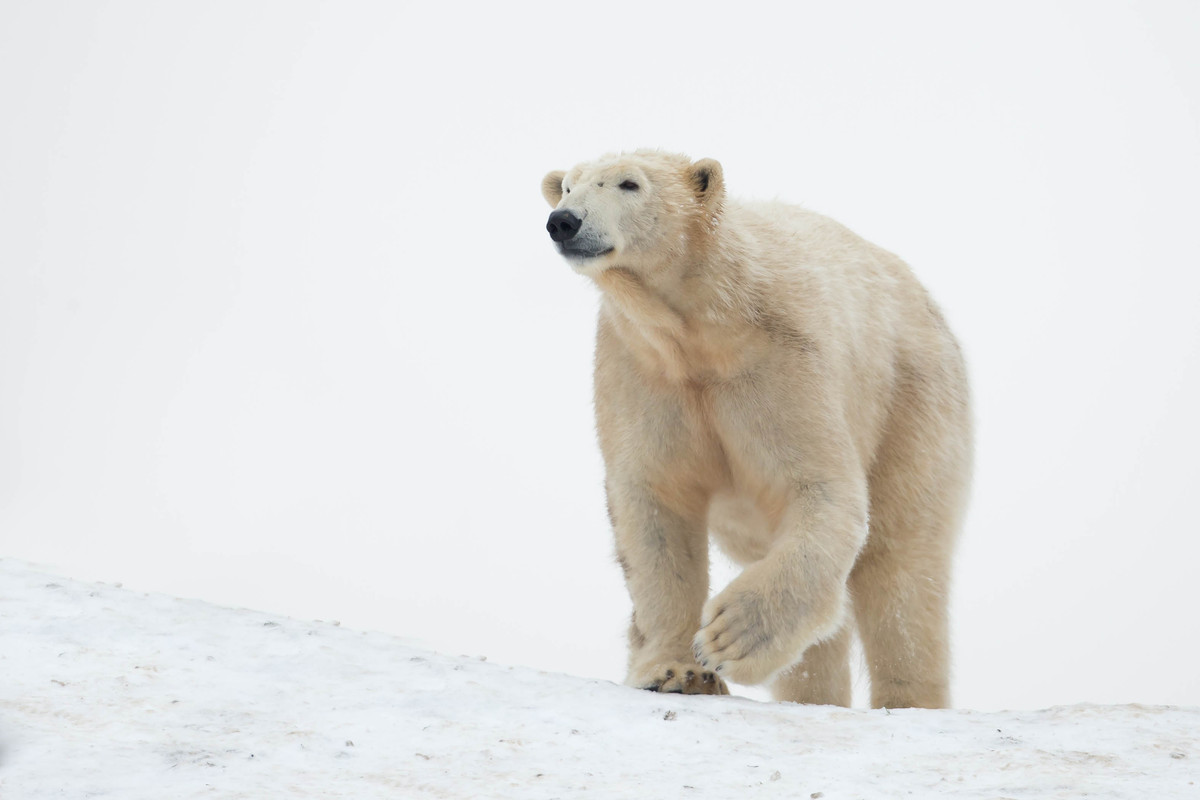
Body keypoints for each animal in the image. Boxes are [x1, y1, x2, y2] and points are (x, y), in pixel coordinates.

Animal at [544, 149, 974, 705]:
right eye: (566, 187)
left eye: (629, 184)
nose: (564, 222)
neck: (705, 326)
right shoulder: (641, 369)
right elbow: (655, 508)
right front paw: (677, 672)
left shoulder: (783, 360)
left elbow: (820, 487)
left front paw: (728, 638)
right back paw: (812, 695)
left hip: (913, 402)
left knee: (903, 565)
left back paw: (907, 701)